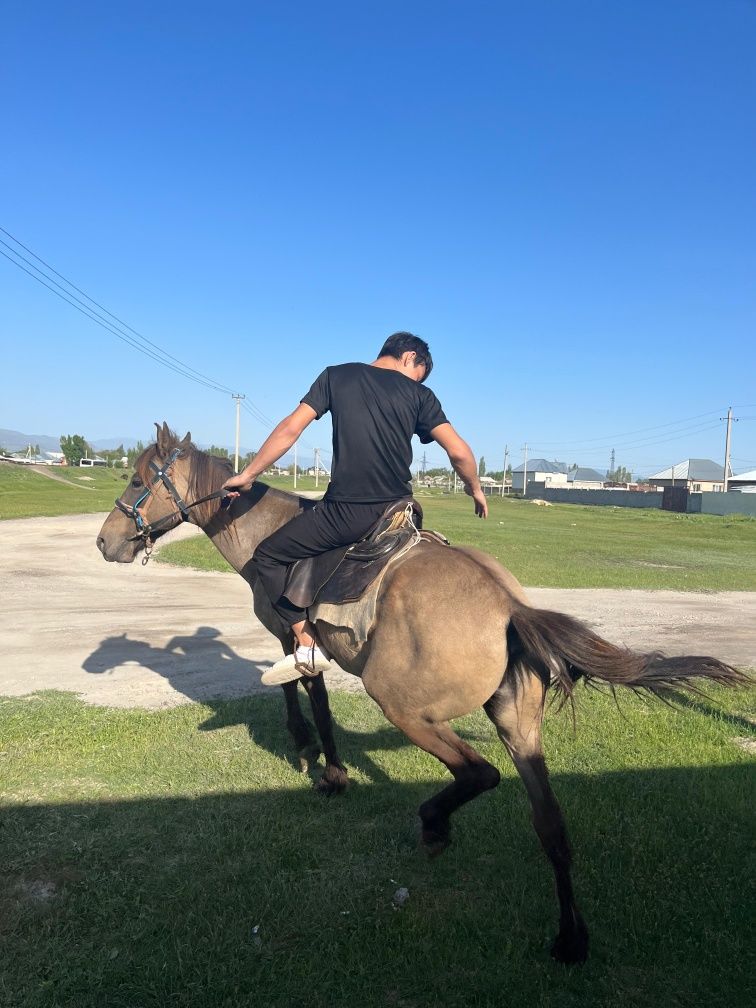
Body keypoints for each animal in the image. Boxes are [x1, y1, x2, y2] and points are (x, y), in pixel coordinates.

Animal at [94, 423, 745, 959]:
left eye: (136, 478)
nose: (105, 542)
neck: (264, 533)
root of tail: (509, 608)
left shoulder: (290, 634)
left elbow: (309, 700)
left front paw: (323, 766)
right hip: (519, 725)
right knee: (551, 825)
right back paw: (569, 936)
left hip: (405, 707)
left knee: (479, 772)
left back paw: (434, 823)